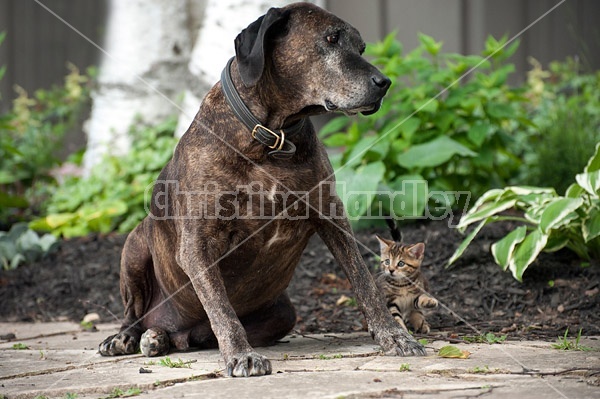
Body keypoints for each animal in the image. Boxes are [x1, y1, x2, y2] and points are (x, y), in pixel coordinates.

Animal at [99, 2, 426, 378]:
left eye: (361, 48)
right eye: (331, 39)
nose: (384, 83)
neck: (272, 138)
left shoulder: (332, 217)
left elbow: (364, 283)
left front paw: (394, 337)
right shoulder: (197, 244)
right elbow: (222, 309)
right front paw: (242, 355)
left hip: (283, 313)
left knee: (194, 336)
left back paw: (159, 338)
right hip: (134, 247)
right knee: (134, 312)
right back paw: (127, 337)